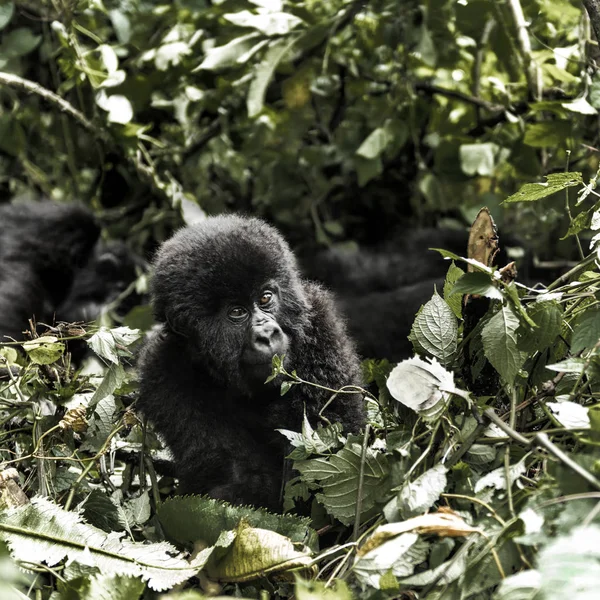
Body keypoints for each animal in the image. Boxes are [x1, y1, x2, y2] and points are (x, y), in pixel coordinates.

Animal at [138, 216, 366, 510]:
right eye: (237, 312)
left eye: (265, 298)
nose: (267, 334)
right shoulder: (162, 370)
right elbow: (240, 476)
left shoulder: (319, 325)